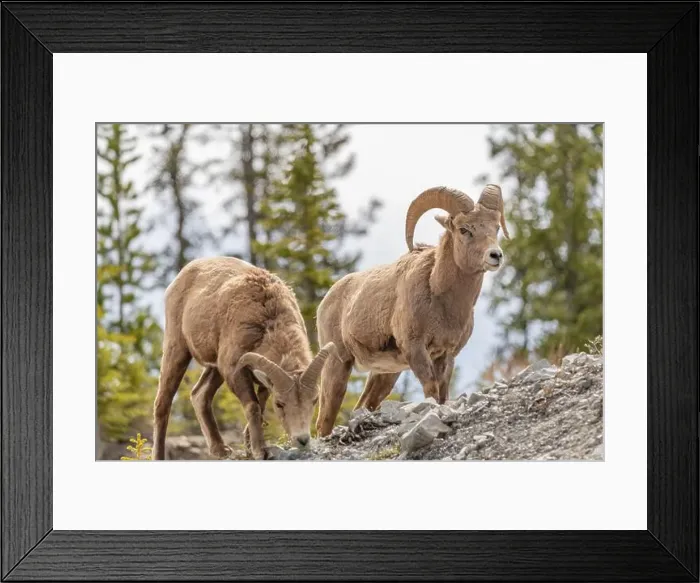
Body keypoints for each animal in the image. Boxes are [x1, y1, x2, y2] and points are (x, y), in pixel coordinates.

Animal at [152, 256, 335, 460]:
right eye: (279, 404)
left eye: (314, 400)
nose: (302, 440)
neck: (268, 322)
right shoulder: (234, 370)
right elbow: (253, 407)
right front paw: (259, 451)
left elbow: (260, 407)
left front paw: (249, 447)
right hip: (177, 348)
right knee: (163, 403)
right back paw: (159, 455)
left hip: (215, 369)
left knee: (199, 395)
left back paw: (220, 450)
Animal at [315, 184, 509, 437]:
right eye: (464, 229)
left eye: (496, 227)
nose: (495, 256)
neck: (441, 300)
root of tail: (327, 299)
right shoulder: (416, 349)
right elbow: (431, 390)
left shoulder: (446, 355)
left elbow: (443, 394)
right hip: (338, 365)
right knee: (324, 421)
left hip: (386, 374)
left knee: (364, 405)